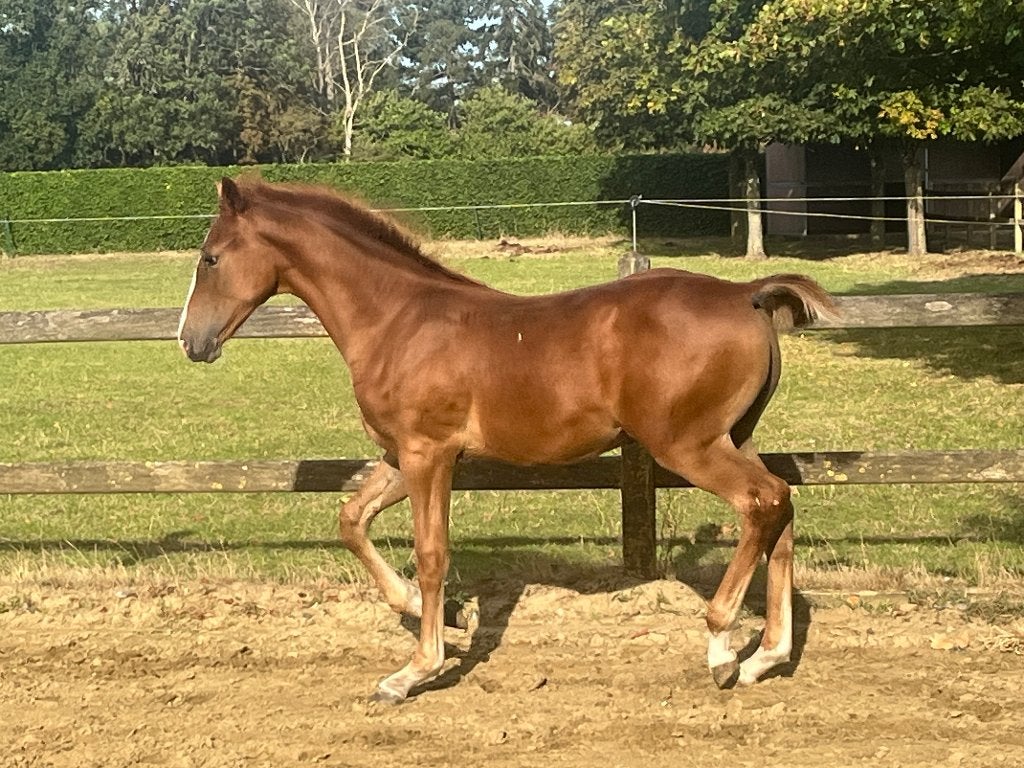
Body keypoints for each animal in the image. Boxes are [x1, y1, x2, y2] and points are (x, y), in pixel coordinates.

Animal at [177, 177, 837, 703]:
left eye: (210, 258)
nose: (190, 341)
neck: (397, 319)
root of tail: (745, 293)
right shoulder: (400, 456)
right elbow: (351, 519)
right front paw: (434, 613)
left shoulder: (429, 454)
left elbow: (432, 555)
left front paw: (414, 670)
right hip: (735, 437)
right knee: (781, 508)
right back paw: (765, 657)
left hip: (689, 446)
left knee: (760, 503)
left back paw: (722, 647)